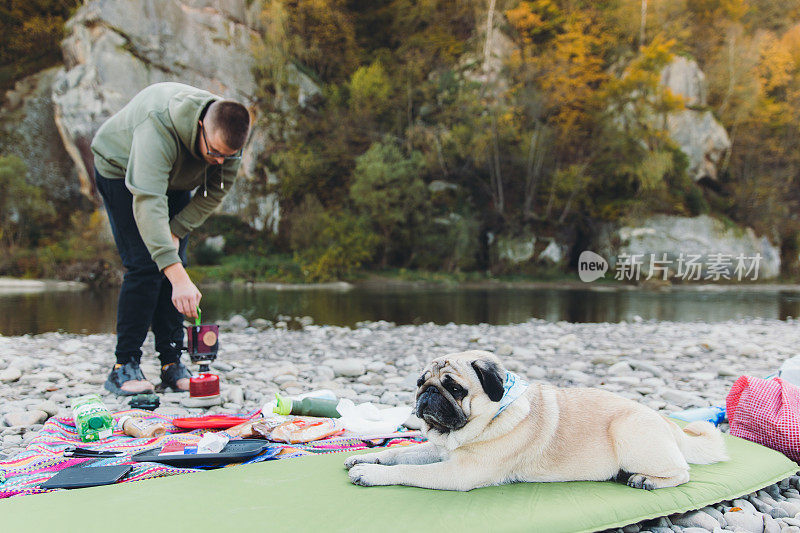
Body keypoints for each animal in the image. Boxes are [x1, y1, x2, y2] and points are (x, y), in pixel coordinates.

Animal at [346, 350, 728, 490]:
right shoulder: (441, 451)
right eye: (420, 382)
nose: (428, 394)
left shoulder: (458, 473)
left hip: (629, 431)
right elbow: (401, 453)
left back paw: (646, 479)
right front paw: (368, 457)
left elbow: (408, 470)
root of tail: (668, 424)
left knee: (683, 472)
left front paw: (372, 473)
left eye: (454, 388)